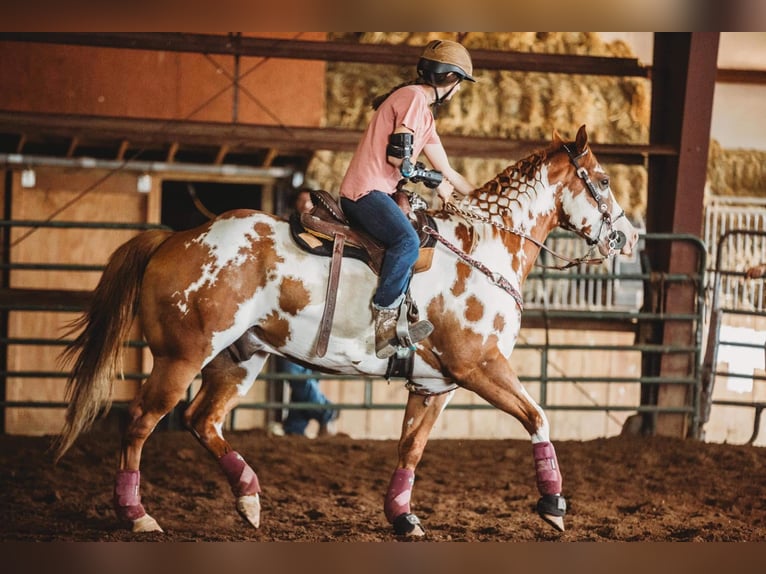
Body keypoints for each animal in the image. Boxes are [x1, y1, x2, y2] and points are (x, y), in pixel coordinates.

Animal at [55, 126, 640, 540]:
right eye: (604, 180)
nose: (628, 237)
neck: (483, 251)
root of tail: (173, 238)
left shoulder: (434, 386)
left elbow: (411, 449)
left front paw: (402, 517)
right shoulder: (480, 367)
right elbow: (537, 416)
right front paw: (553, 505)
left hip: (239, 358)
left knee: (203, 420)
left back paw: (249, 498)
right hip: (182, 357)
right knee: (140, 421)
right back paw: (136, 514)